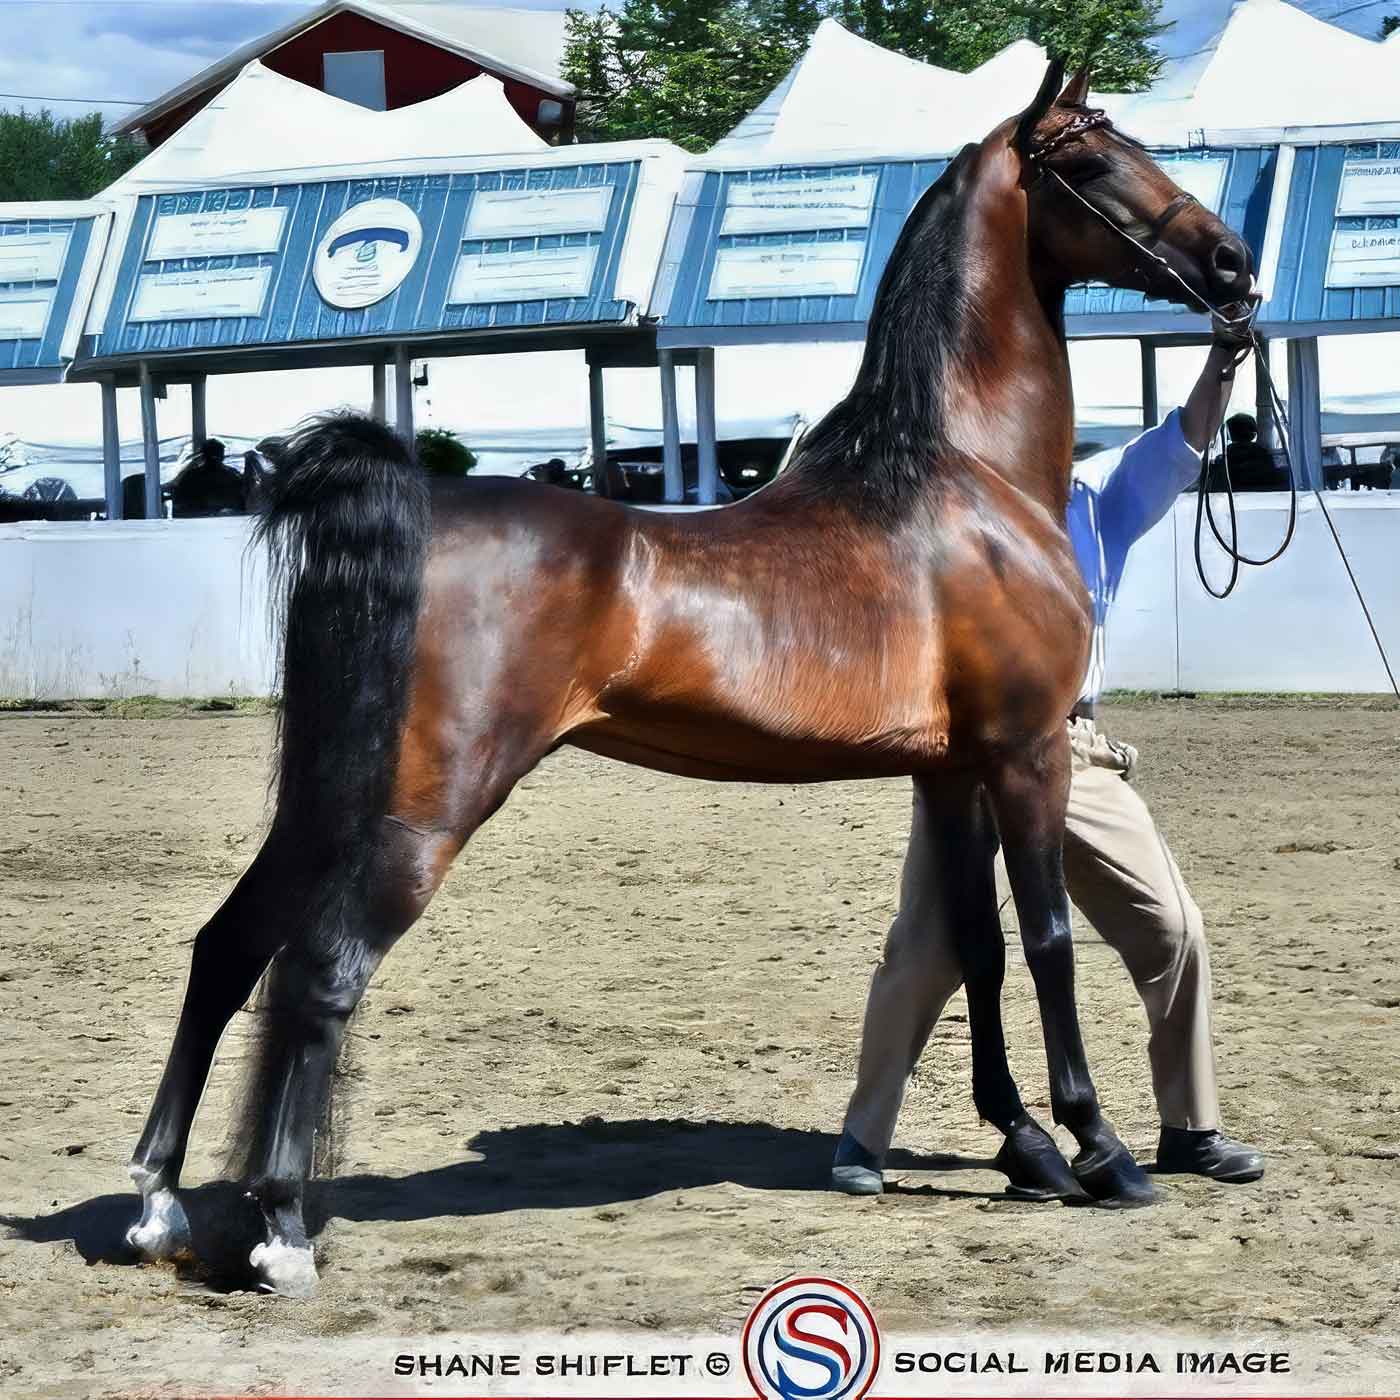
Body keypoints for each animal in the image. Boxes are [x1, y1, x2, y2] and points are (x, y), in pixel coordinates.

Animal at [122, 62, 1253, 1295]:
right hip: (417, 815)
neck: (962, 478)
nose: (1232, 264)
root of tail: (417, 504)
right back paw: (281, 1228)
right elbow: (1048, 942)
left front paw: (1025, 1147)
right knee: (320, 969)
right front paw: (1099, 1151)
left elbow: (978, 948)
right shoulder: (1026, 751)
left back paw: (160, 1208)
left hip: (327, 797)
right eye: (1090, 158)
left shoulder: (950, 773)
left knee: (226, 948)